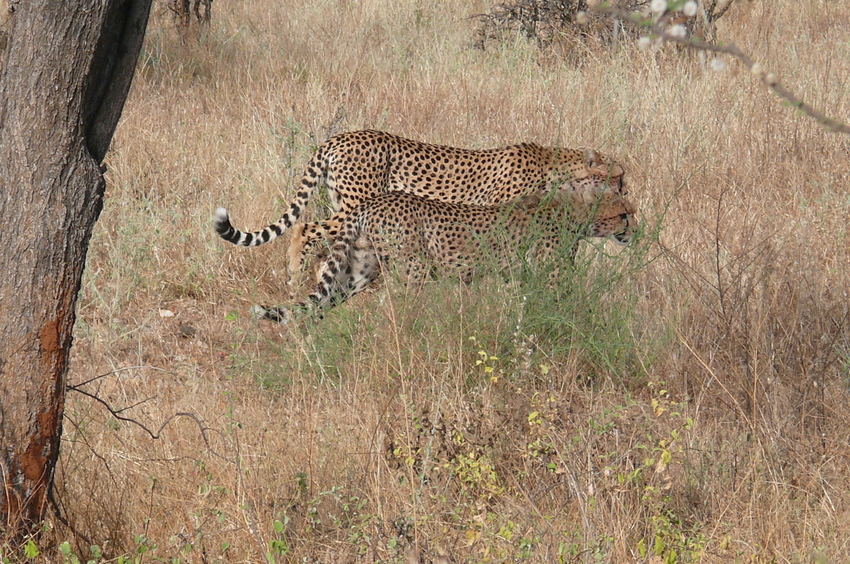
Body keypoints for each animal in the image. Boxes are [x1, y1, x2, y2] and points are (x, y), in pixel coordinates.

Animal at [212, 131, 624, 284]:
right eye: (619, 178)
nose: (627, 193)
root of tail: (339, 136)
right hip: (358, 201)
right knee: (306, 228)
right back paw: (297, 277)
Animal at [252, 188, 636, 322]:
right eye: (624, 213)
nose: (635, 230)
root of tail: (375, 200)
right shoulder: (550, 277)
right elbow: (563, 306)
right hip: (414, 269)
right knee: (394, 307)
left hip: (358, 272)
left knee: (321, 302)